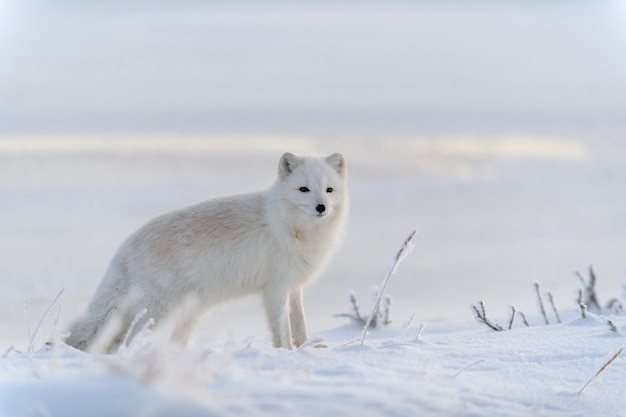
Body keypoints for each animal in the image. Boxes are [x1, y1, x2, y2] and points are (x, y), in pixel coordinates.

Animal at [64, 151, 346, 350]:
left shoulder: (294, 286)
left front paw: (309, 348)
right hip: (157, 310)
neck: (289, 225)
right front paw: (286, 353)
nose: (321, 207)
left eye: (329, 190)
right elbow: (282, 328)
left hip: (189, 311)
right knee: (129, 337)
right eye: (303, 189)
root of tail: (127, 244)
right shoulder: (275, 288)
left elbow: (300, 324)